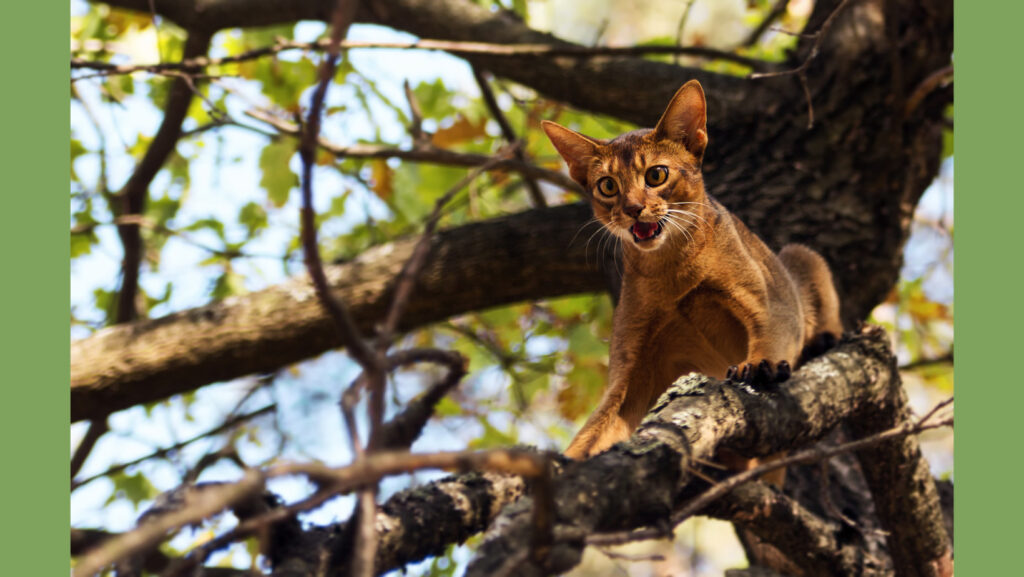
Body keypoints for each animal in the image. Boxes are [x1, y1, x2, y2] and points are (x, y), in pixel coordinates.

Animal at [544, 79, 839, 461]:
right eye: (608, 185)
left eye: (656, 174)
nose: (633, 209)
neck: (673, 269)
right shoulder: (631, 371)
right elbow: (597, 428)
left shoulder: (773, 305)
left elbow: (772, 337)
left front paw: (760, 366)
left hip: (800, 255)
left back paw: (826, 339)